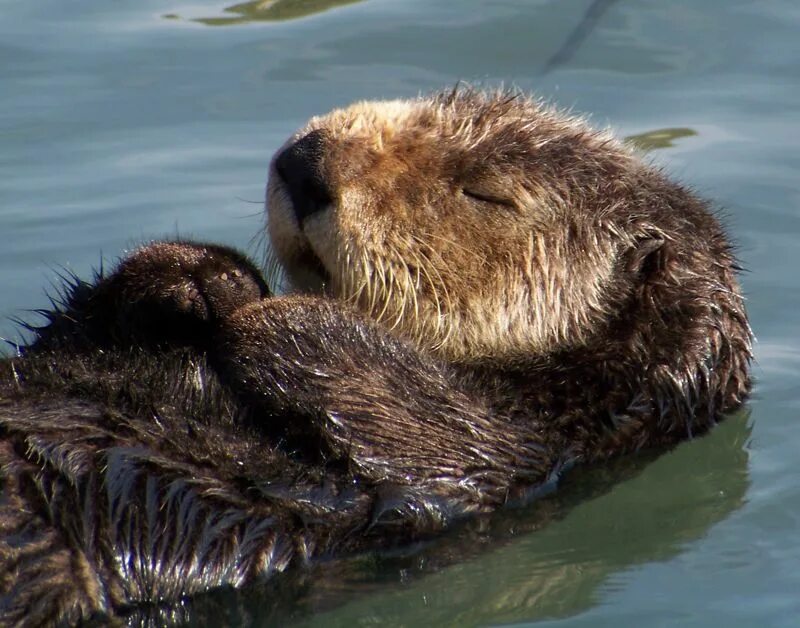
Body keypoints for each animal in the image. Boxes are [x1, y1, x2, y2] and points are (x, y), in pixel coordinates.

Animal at [0, 87, 752, 624]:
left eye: (486, 192)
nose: (305, 162)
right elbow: (66, 336)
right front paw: (206, 276)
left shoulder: (524, 453)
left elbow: (420, 429)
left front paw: (273, 312)